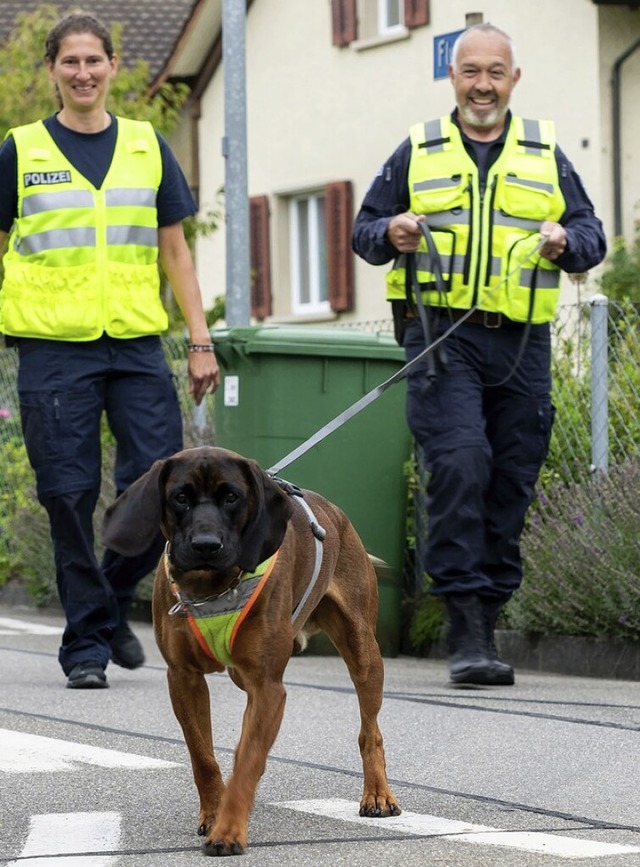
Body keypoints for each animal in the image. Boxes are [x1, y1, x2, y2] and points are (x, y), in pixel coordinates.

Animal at [102, 448, 398, 856]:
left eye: (232, 497)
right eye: (180, 497)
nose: (206, 545)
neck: (212, 587)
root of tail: (337, 514)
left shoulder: (267, 685)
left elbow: (246, 762)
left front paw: (228, 829)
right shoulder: (184, 678)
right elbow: (203, 756)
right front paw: (214, 811)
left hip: (363, 651)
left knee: (370, 731)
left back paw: (377, 793)